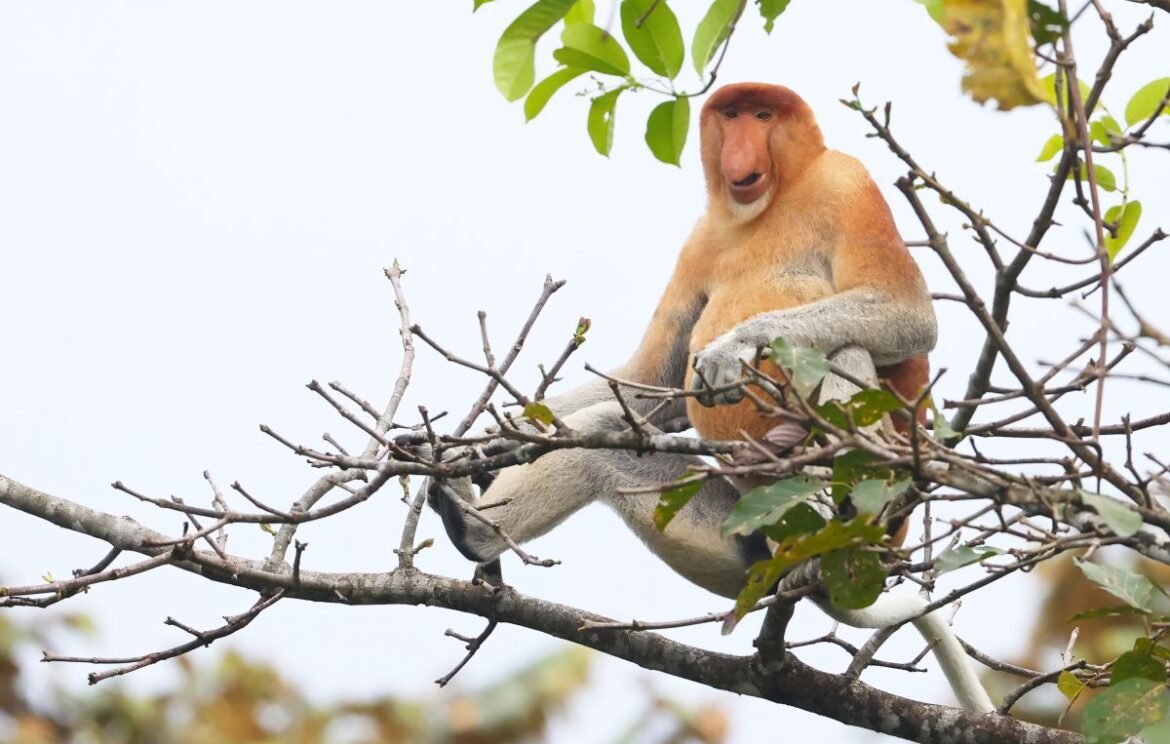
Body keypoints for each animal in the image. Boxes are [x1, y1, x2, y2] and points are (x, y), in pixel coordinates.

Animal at [428, 83, 993, 712]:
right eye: (732, 115)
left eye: (764, 115)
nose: (740, 153)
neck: (769, 203)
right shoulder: (700, 241)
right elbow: (652, 379)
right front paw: (477, 446)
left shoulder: (848, 182)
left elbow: (907, 314)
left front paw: (731, 349)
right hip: (746, 536)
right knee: (604, 442)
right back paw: (471, 529)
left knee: (843, 345)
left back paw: (838, 511)